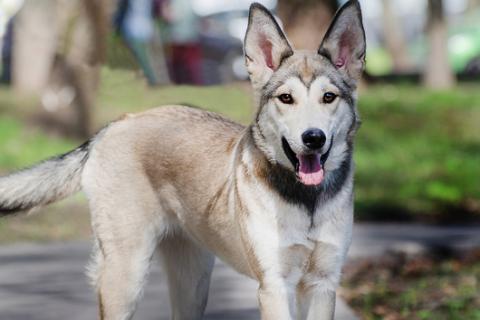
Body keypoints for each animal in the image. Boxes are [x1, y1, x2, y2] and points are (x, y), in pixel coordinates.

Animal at [0, 1, 366, 318]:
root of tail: (116, 124)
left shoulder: (322, 284)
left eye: (329, 97)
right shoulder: (275, 286)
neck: (306, 201)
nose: (313, 138)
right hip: (126, 274)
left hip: (193, 283)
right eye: (286, 98)